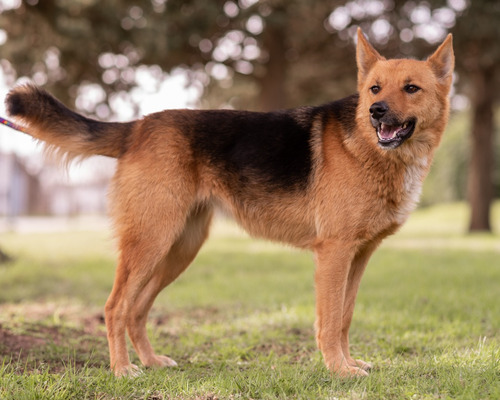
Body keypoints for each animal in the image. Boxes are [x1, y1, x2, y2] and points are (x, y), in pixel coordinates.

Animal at [4, 29, 458, 376]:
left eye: (411, 88)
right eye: (374, 89)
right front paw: (338, 370)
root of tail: (138, 127)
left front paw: (347, 364)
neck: (368, 148)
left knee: (135, 310)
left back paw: (150, 361)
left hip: (177, 250)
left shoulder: (357, 256)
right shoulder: (334, 254)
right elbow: (329, 321)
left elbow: (344, 318)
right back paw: (123, 370)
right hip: (150, 243)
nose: (376, 111)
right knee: (115, 307)